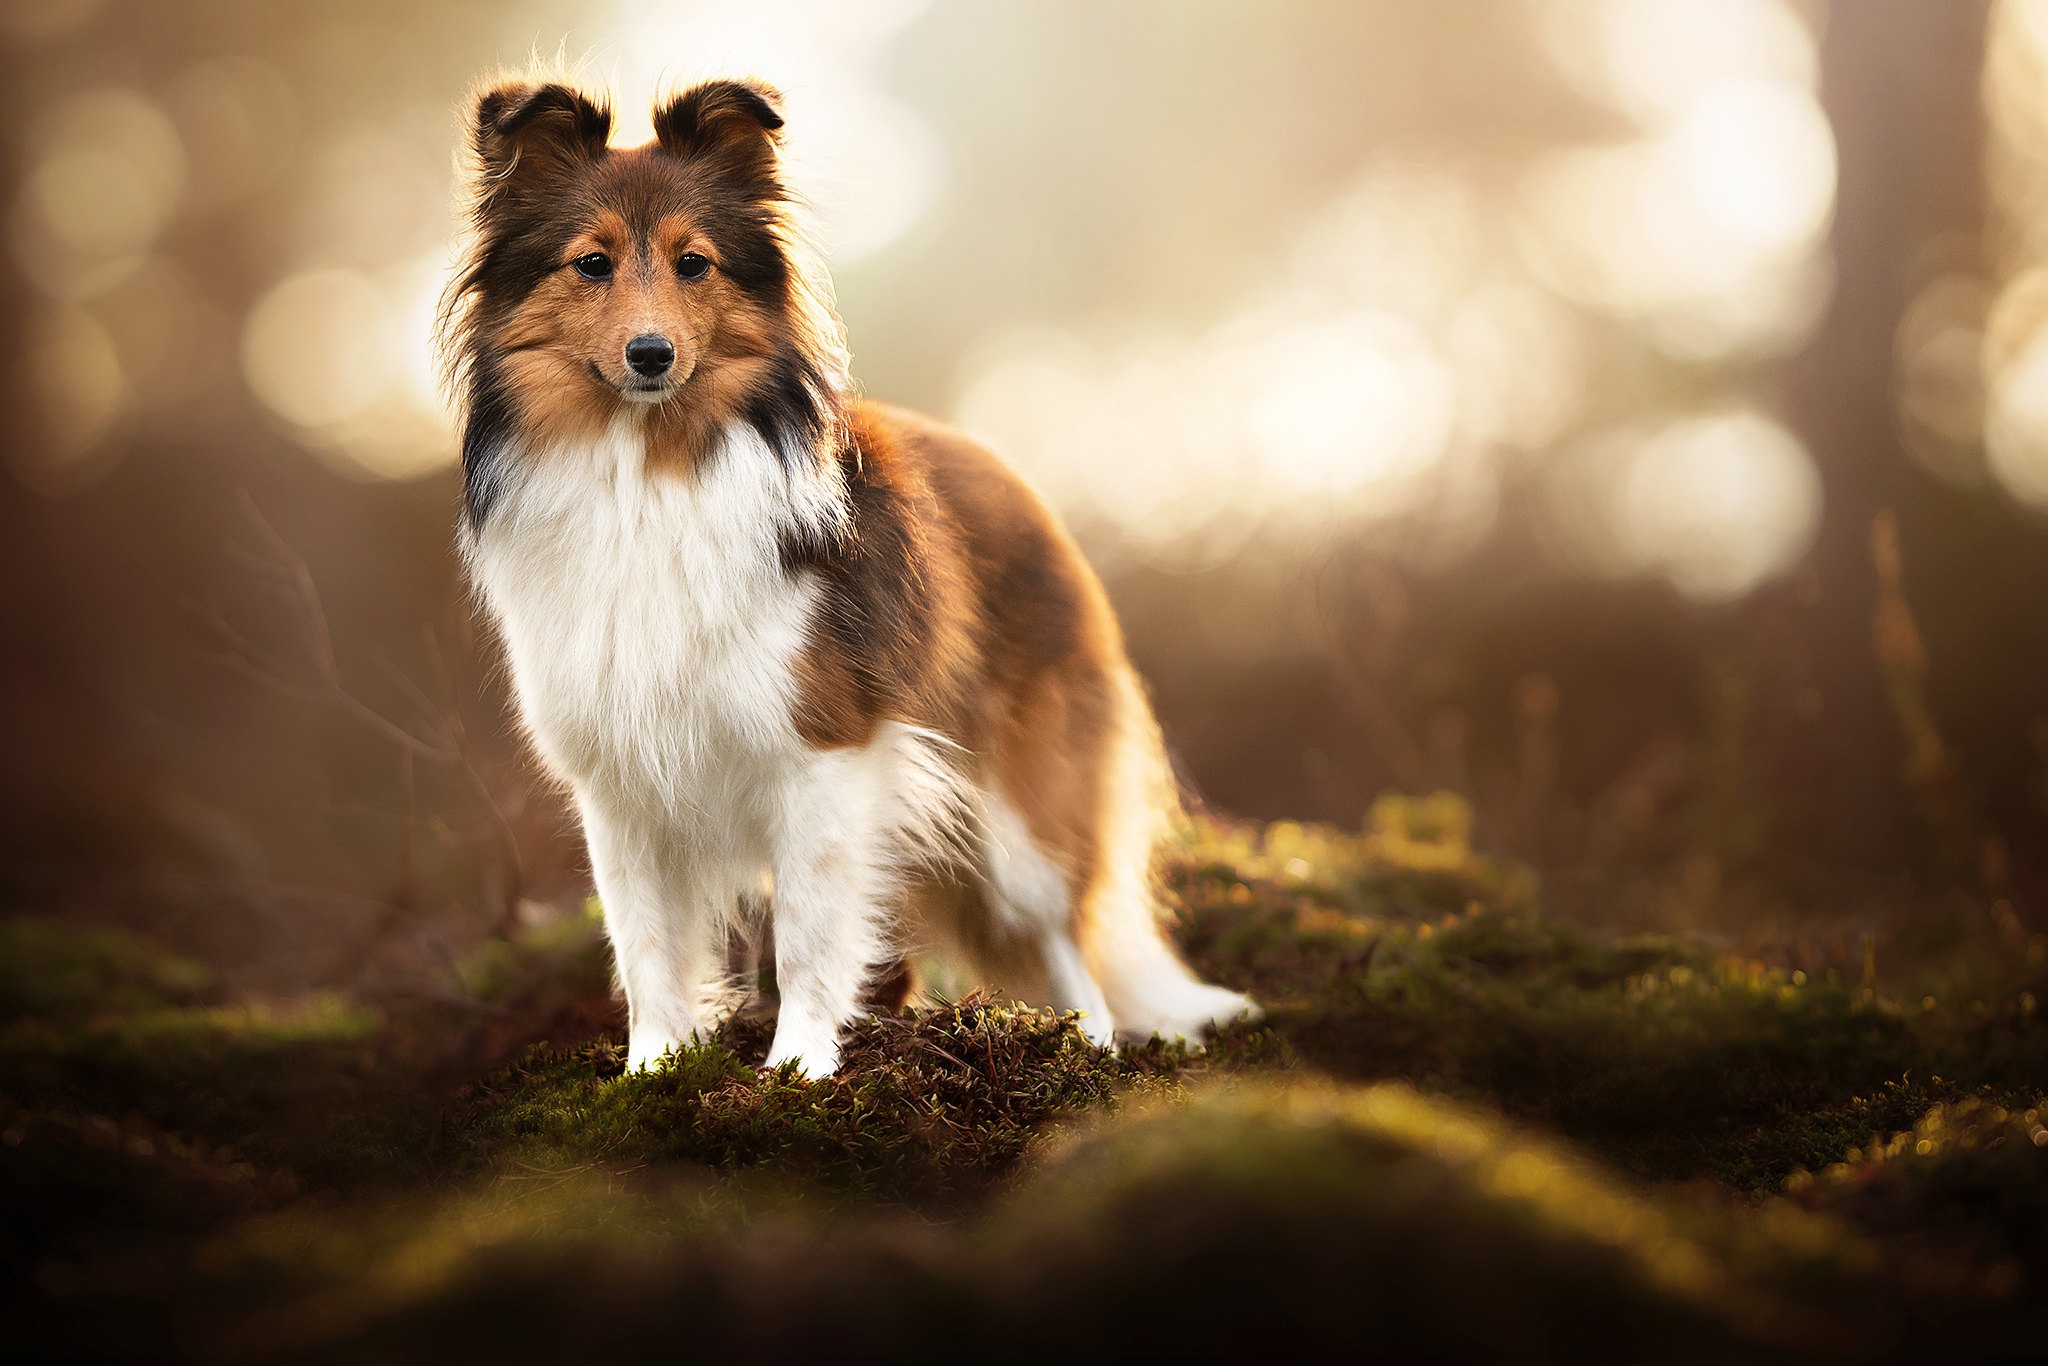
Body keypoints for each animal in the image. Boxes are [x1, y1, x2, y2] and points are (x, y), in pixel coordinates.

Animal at [440, 77, 1253, 1081]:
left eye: (694, 264)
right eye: (591, 263)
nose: (651, 354)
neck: (651, 474)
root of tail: (1022, 488)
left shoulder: (823, 754)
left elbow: (809, 931)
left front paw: (798, 1067)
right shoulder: (618, 781)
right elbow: (646, 943)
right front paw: (654, 1069)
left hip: (1014, 812)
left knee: (1064, 935)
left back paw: (1086, 1046)